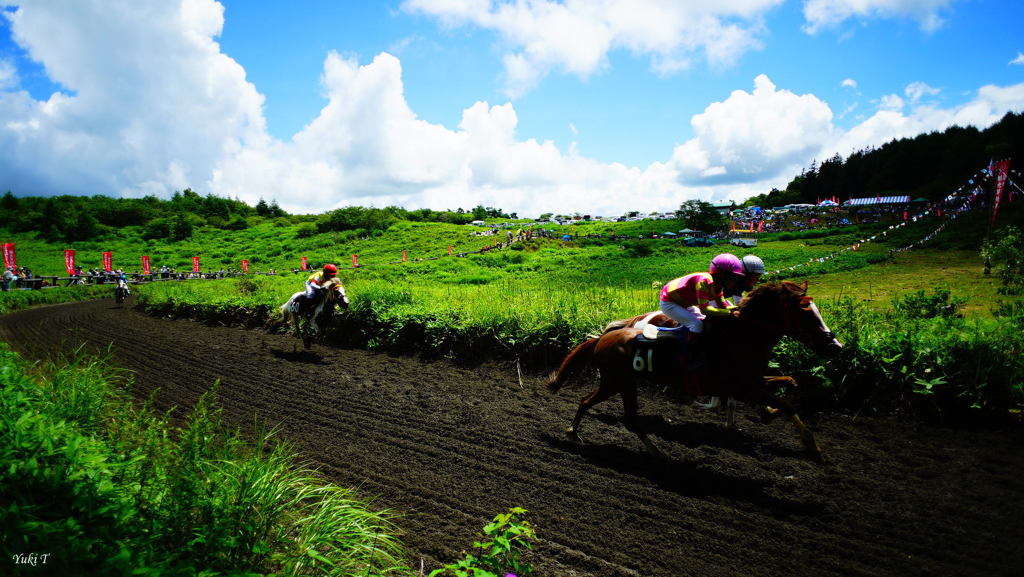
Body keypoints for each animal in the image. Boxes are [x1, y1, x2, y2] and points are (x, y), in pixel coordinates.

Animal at [544, 282, 839, 463]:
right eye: (806, 313)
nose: (835, 345)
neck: (738, 336)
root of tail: (602, 338)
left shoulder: (749, 381)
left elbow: (790, 382)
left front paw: (766, 413)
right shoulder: (743, 385)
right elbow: (787, 404)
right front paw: (814, 449)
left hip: (621, 383)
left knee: (600, 407)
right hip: (618, 383)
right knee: (605, 409)